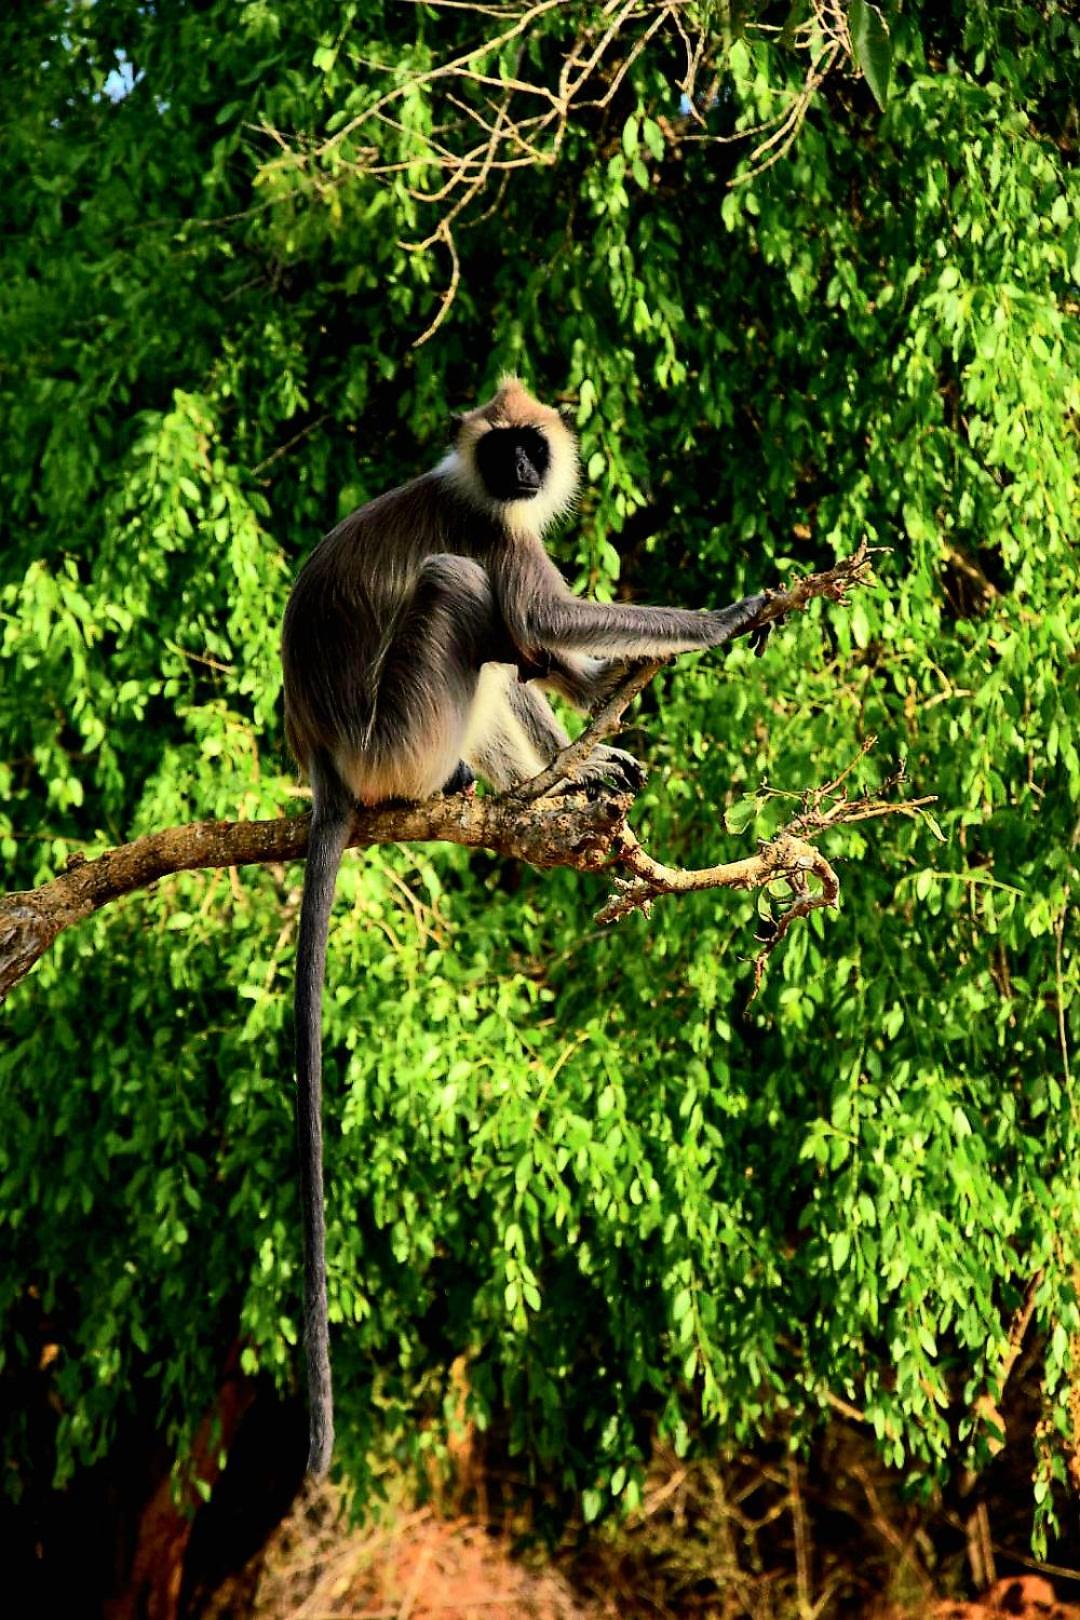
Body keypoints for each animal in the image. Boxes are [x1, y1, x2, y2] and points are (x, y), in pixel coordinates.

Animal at [281, 376, 769, 1476]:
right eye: (500, 447)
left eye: (529, 448)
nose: (516, 470)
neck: (479, 490)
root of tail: (325, 760)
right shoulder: (490, 528)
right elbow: (534, 603)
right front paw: (717, 619)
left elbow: (534, 639)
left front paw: (597, 714)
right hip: (402, 736)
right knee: (464, 594)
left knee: (503, 654)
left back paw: (575, 765)